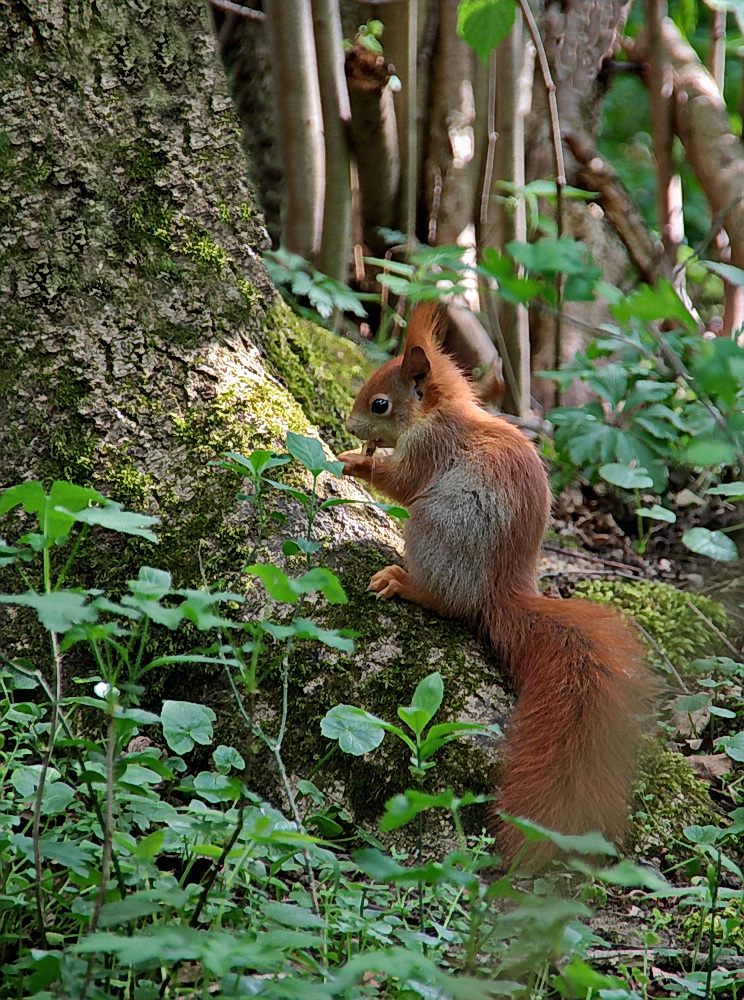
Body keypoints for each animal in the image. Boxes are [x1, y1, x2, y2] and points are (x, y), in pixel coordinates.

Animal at [340, 302, 652, 868]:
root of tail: (500, 591)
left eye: (380, 403)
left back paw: (402, 580)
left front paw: (356, 460)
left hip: (436, 528)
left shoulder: (430, 451)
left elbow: (401, 483)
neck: (438, 416)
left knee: (447, 601)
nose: (348, 424)